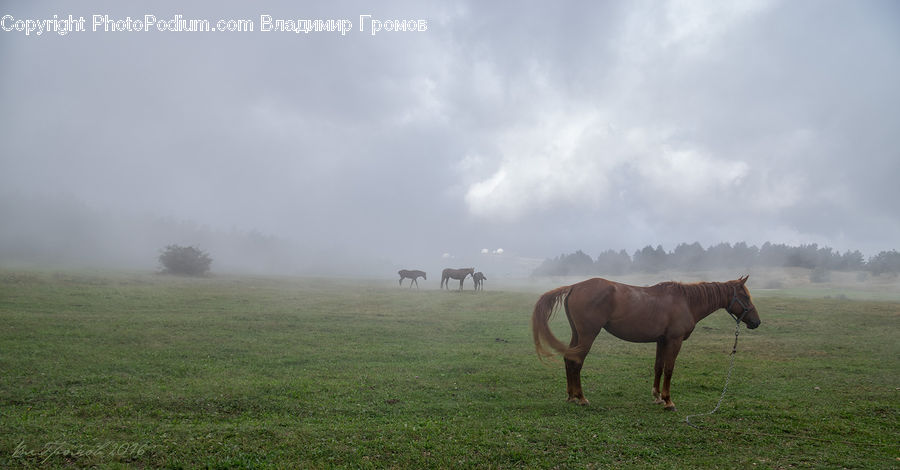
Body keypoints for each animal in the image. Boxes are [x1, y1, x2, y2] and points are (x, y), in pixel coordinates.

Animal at [532, 275, 760, 411]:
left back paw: (571, 396)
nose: (756, 322)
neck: (686, 301)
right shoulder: (674, 341)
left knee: (569, 359)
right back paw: (581, 397)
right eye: (745, 297)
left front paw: (657, 396)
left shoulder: (662, 341)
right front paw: (668, 400)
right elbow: (669, 369)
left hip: (577, 335)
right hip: (588, 335)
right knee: (577, 362)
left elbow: (658, 367)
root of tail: (574, 286)